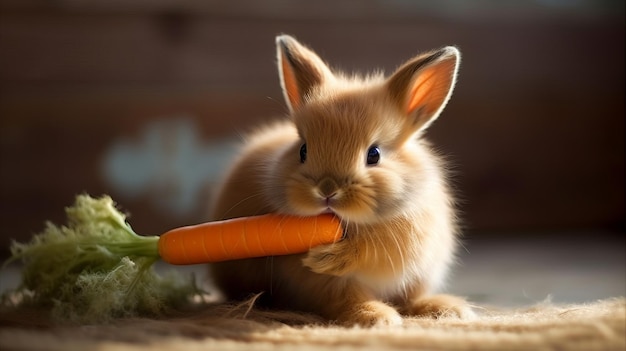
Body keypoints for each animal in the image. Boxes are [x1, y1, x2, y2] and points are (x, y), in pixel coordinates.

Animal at [207, 35, 470, 328]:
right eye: (303, 150)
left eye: (374, 154)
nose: (327, 190)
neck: (348, 224)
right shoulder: (329, 284)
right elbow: (345, 296)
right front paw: (375, 317)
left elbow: (369, 253)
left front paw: (328, 259)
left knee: (412, 298)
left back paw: (447, 309)